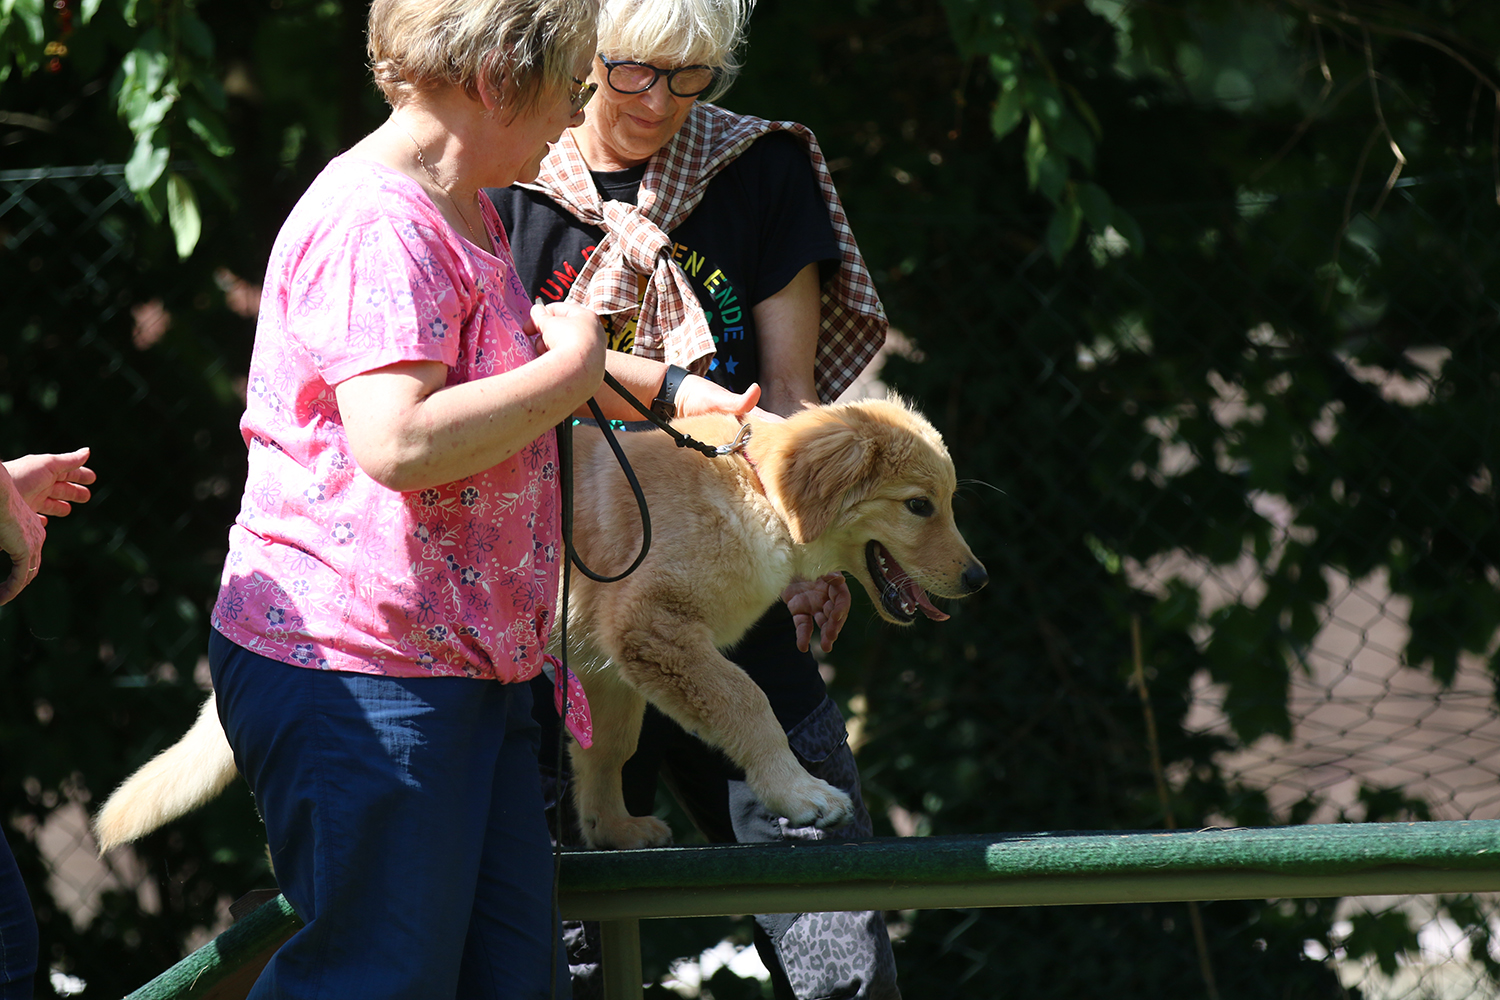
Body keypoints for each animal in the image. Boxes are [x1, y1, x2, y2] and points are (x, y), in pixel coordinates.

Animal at [94, 396, 986, 853]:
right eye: (919, 506)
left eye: (948, 502)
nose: (978, 579)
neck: (754, 489)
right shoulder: (655, 627)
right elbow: (748, 702)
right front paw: (800, 794)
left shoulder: (612, 659)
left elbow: (612, 748)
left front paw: (611, 826)